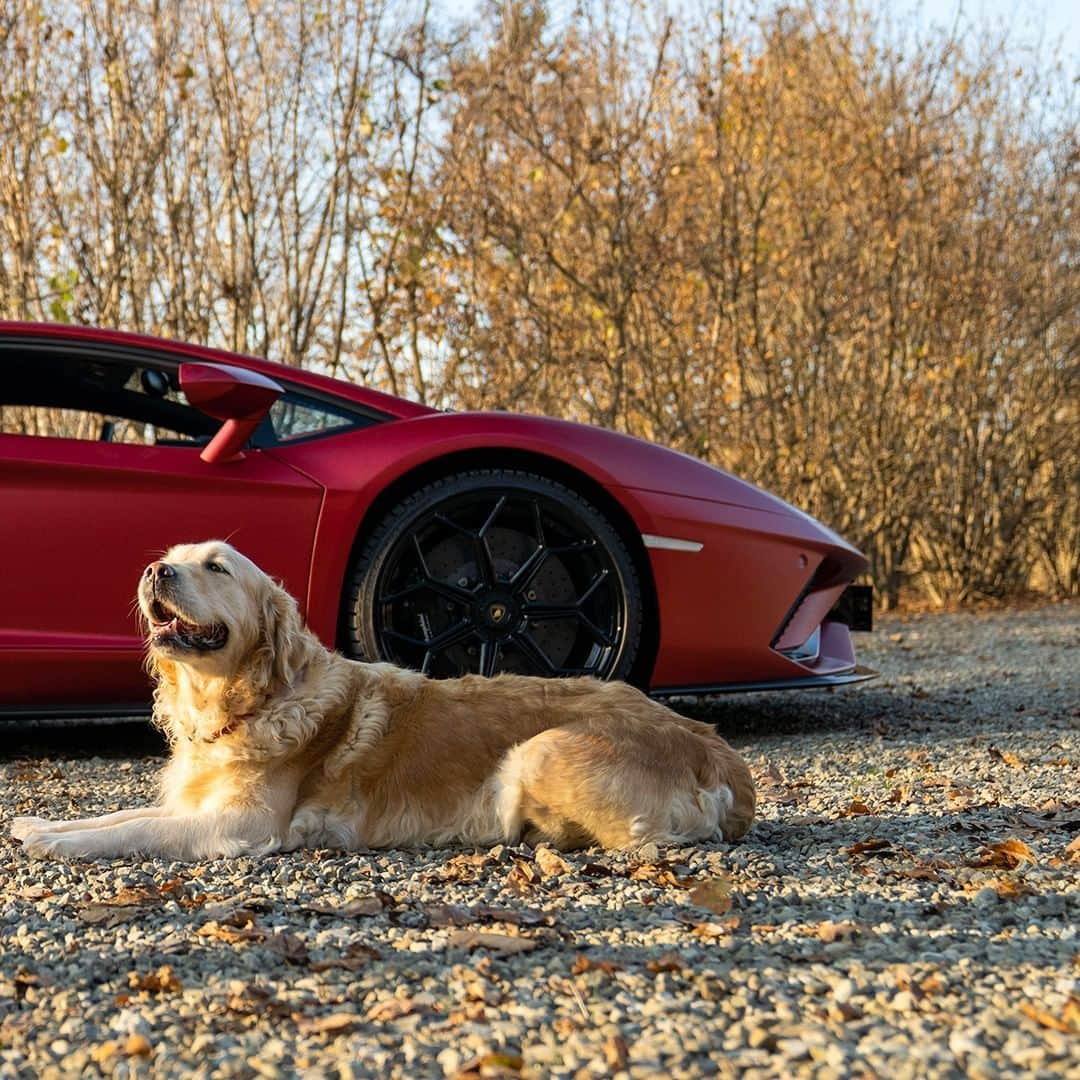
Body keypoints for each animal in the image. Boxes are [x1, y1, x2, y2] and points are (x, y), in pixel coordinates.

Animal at [12, 540, 756, 859]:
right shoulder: (196, 800)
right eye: (173, 554)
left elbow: (139, 830)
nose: (154, 570)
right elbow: (125, 813)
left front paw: (56, 843)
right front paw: (46, 825)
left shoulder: (240, 826)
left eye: (216, 566)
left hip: (538, 751)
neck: (250, 702)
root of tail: (714, 746)